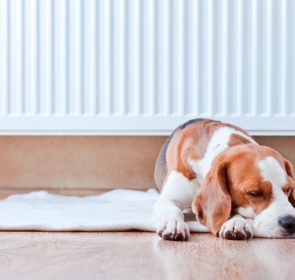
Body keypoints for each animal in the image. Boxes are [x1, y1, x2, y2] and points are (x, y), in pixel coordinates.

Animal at [153, 118, 295, 241]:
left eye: (288, 189)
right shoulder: (169, 198)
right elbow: (174, 210)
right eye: (255, 193)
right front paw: (174, 223)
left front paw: (236, 222)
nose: (291, 222)